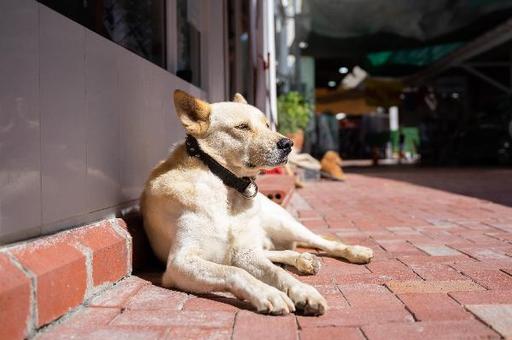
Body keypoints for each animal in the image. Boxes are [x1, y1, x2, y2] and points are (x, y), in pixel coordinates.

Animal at [142, 91, 374, 316]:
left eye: (267, 125)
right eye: (242, 127)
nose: (288, 144)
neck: (226, 187)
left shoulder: (244, 252)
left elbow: (276, 272)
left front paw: (303, 292)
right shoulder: (180, 262)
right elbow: (236, 272)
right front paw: (269, 294)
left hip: (285, 224)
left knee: (322, 241)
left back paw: (355, 252)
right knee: (276, 253)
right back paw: (302, 259)